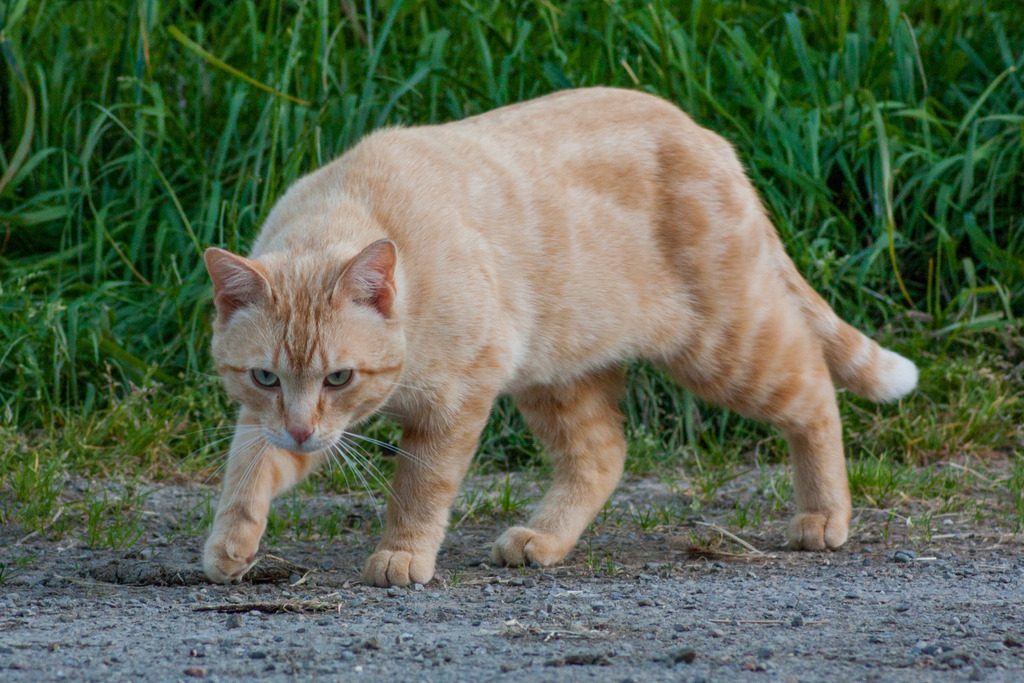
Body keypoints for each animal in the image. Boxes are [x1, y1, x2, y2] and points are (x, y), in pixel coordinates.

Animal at [199, 85, 921, 589]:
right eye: (264, 376)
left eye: (339, 376)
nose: (300, 428)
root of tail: (705, 134)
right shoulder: (284, 423)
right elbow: (249, 467)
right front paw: (232, 540)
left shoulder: (454, 403)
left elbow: (419, 487)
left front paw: (402, 552)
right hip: (559, 372)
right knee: (602, 455)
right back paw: (543, 539)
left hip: (726, 346)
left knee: (814, 389)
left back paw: (825, 515)